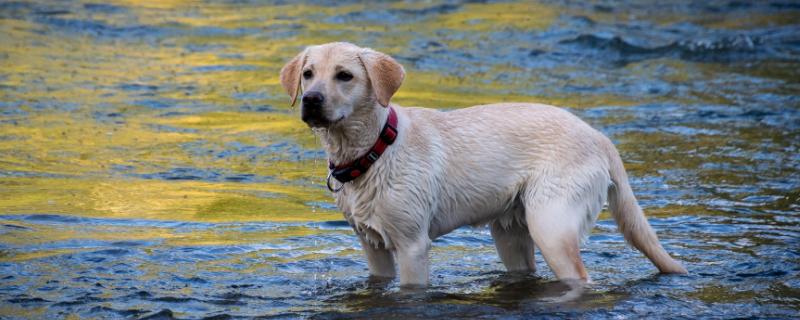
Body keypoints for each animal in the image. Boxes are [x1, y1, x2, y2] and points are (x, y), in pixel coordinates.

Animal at [278, 42, 684, 288]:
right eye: (308, 74)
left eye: (345, 75)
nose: (310, 100)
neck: (374, 149)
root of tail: (598, 136)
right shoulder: (372, 246)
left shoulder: (412, 245)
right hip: (511, 234)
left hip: (552, 227)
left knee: (580, 278)